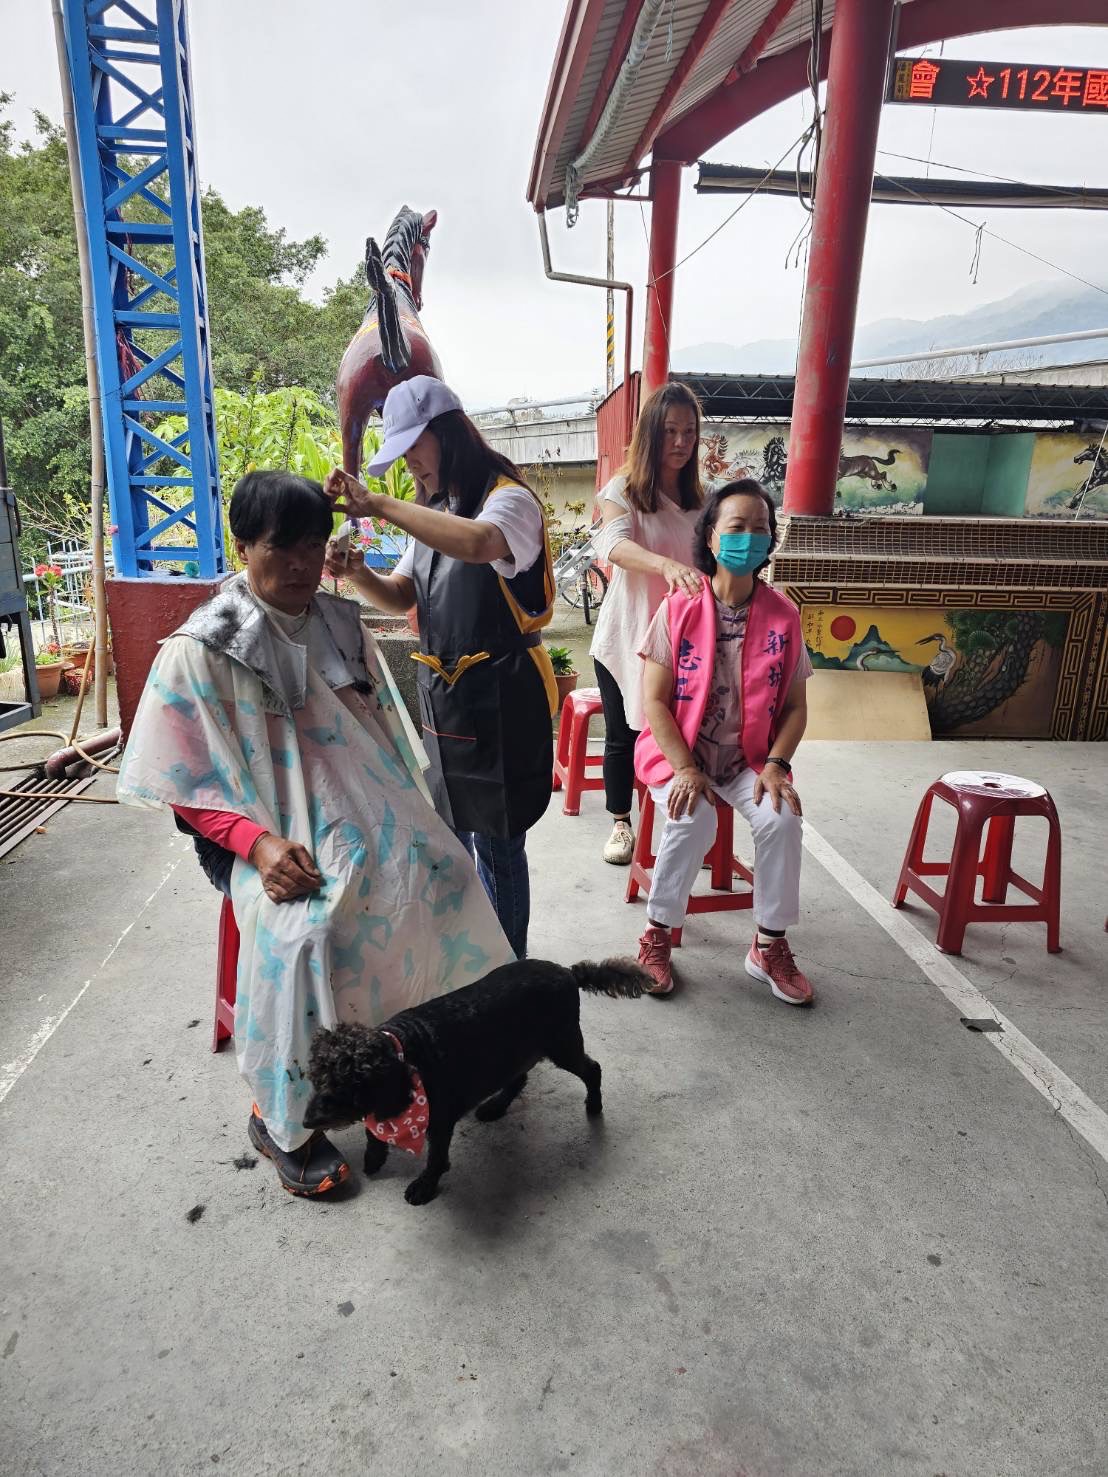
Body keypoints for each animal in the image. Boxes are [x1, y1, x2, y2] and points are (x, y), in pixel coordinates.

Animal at [302, 956, 648, 1204]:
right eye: (316, 1078)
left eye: (343, 1086)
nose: (306, 1122)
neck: (404, 1050)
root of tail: (567, 972)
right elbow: (373, 1130)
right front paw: (374, 1156)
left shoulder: (440, 1123)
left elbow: (435, 1159)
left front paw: (424, 1186)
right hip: (516, 1051)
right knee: (518, 1078)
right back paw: (495, 1107)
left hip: (562, 1045)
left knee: (593, 1069)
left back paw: (594, 1105)